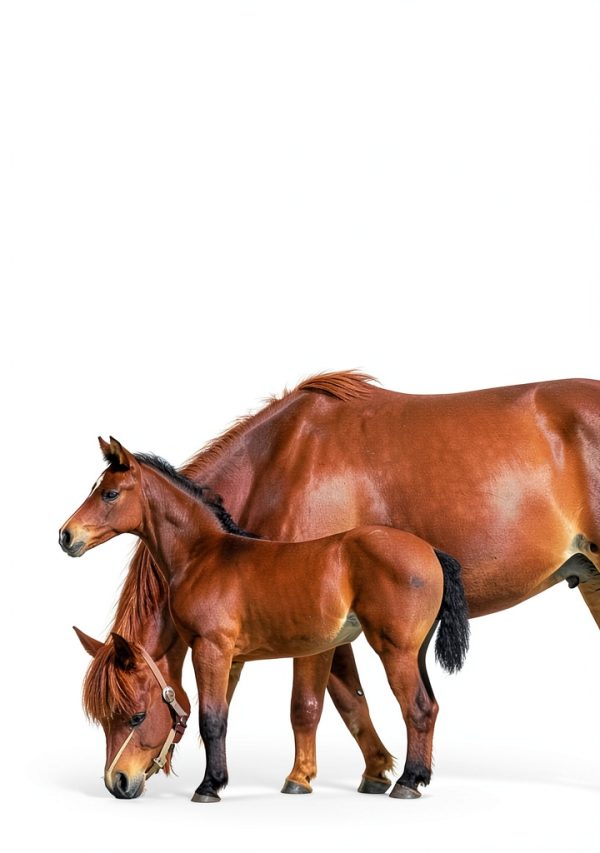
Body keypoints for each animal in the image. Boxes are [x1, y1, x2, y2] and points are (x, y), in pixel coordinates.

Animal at [60, 437, 470, 802]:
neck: (204, 556)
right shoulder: (232, 659)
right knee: (431, 706)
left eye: (110, 494)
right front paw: (218, 779)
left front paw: (208, 788)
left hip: (395, 649)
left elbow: (212, 720)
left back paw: (408, 783)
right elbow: (219, 716)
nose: (66, 536)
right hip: (415, 653)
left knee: (417, 708)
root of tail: (431, 551)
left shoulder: (210, 649)